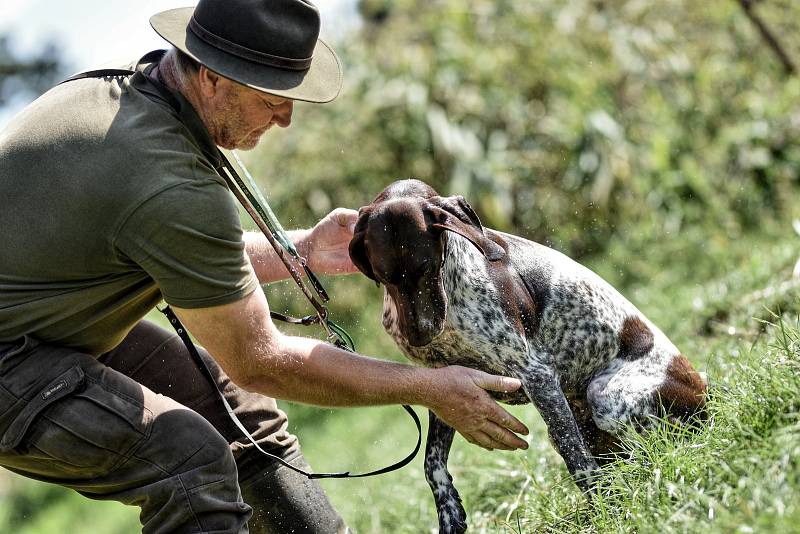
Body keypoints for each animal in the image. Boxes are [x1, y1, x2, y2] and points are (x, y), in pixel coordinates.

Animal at [350, 180, 708, 534]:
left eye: (425, 267)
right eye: (383, 277)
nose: (420, 335)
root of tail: (707, 393)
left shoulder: (536, 374)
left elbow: (577, 459)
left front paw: (603, 512)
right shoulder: (448, 386)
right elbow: (431, 462)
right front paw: (449, 512)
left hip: (605, 397)